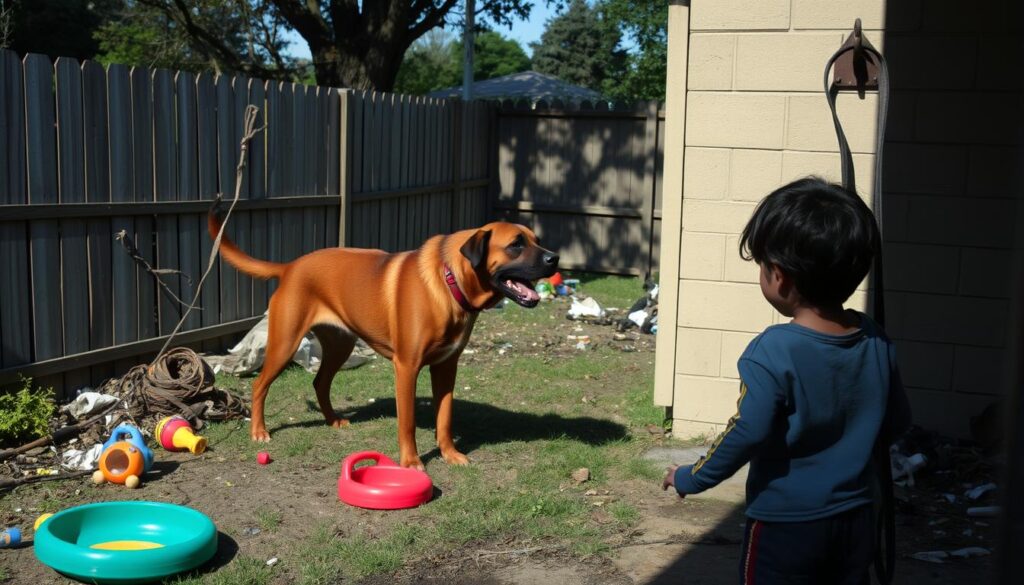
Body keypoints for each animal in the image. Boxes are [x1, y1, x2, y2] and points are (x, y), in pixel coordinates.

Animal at [208, 211, 561, 471]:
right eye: (516, 244)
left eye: (537, 241)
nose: (555, 258)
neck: (448, 281)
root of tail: (291, 267)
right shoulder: (407, 367)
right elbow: (407, 423)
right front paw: (411, 462)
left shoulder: (447, 367)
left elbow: (445, 417)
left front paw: (449, 454)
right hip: (285, 344)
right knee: (260, 385)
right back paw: (259, 431)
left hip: (339, 345)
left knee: (320, 382)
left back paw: (333, 420)